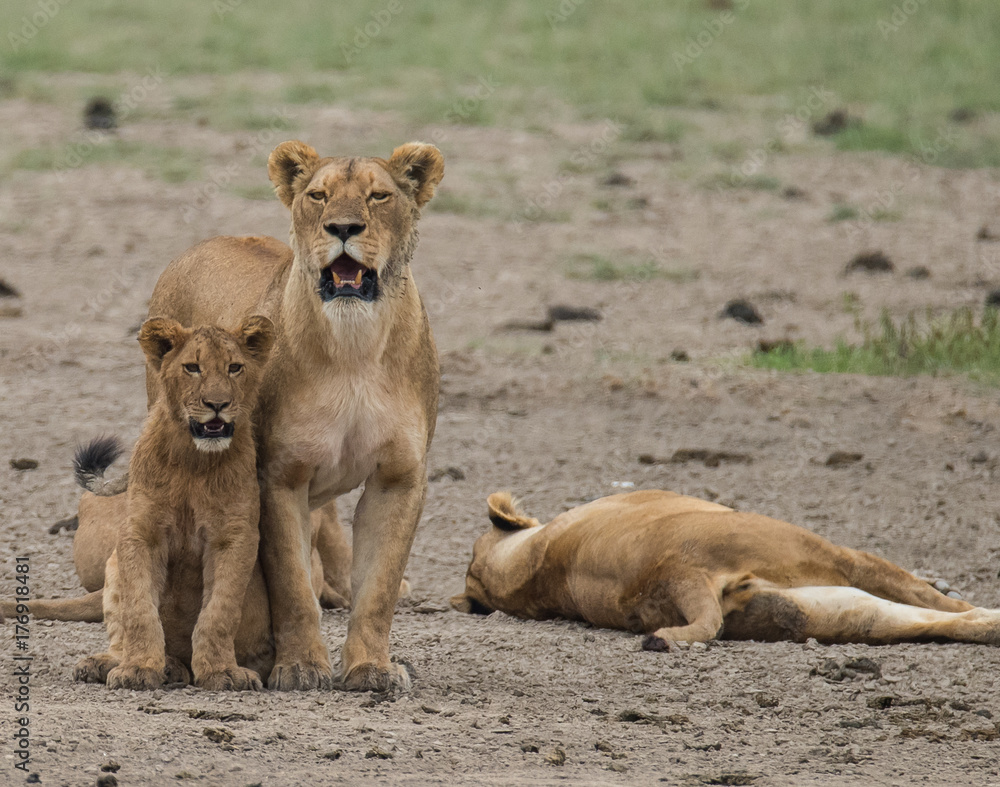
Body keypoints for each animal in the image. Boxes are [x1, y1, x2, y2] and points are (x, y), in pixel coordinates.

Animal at [74, 316, 276, 691]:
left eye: (235, 367)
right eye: (192, 367)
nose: (217, 404)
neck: (192, 461)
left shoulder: (234, 536)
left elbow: (220, 611)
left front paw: (221, 671)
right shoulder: (141, 532)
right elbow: (139, 608)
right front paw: (138, 668)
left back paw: (175, 667)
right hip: (112, 565)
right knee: (119, 634)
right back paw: (110, 663)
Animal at [451, 490, 1000, 648]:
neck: (534, 567)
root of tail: (671, 572)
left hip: (839, 613)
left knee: (941, 622)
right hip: (833, 557)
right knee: (940, 606)